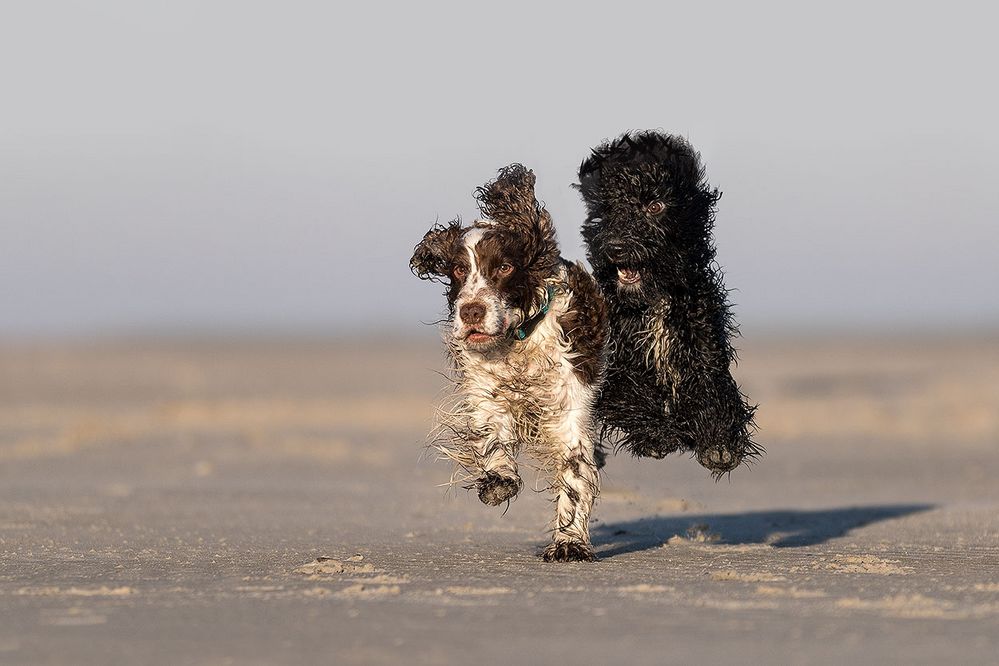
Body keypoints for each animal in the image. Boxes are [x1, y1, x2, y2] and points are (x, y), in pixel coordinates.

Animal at [576, 131, 760, 472]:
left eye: (655, 205)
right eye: (608, 208)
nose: (616, 247)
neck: (653, 301)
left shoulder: (703, 343)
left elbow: (713, 388)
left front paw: (720, 443)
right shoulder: (608, 368)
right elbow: (630, 393)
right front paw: (659, 434)